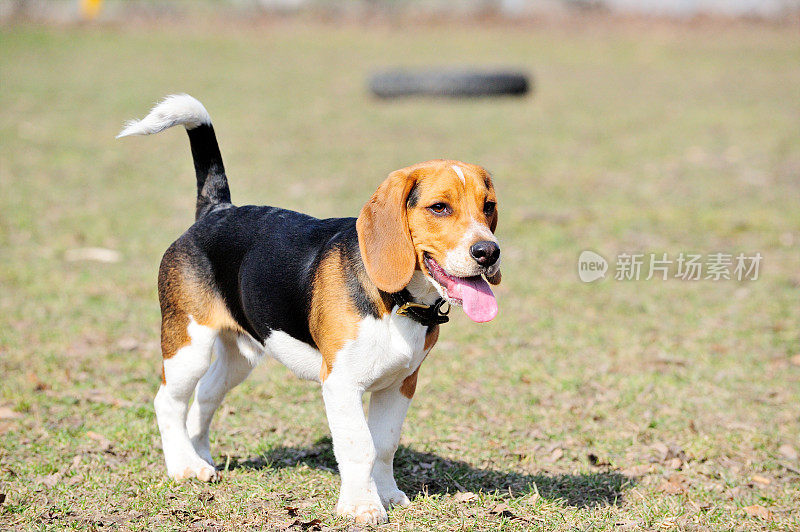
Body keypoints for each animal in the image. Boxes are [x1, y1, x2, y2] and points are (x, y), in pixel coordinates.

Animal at [117, 94, 500, 524]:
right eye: (439, 208)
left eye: (488, 207)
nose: (489, 252)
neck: (397, 302)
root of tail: (217, 210)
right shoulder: (341, 383)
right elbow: (360, 445)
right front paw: (361, 506)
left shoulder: (400, 383)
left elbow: (384, 444)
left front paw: (387, 494)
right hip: (188, 345)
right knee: (168, 402)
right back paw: (184, 466)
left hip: (240, 357)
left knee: (205, 398)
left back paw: (201, 459)